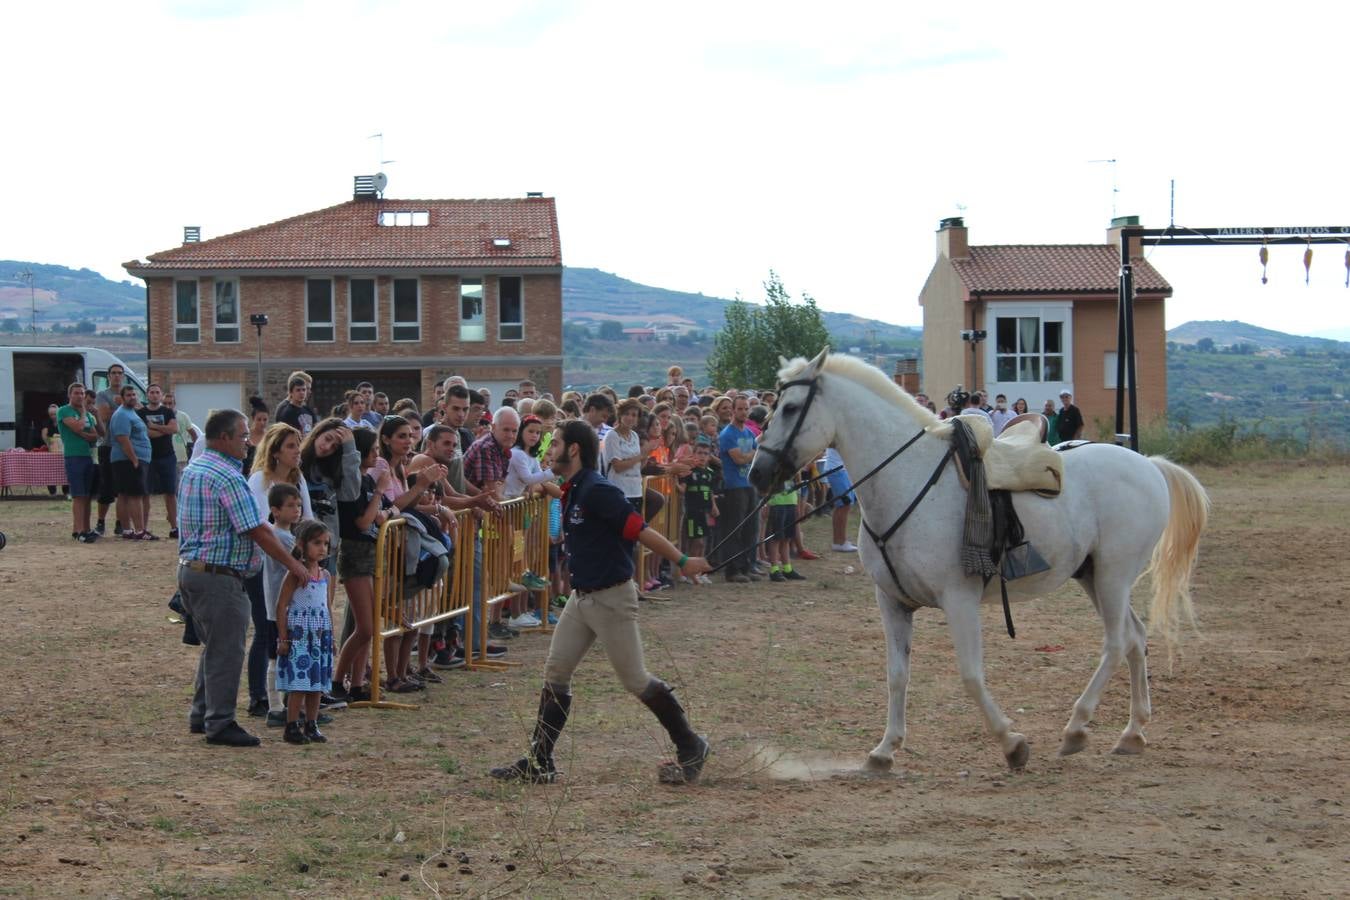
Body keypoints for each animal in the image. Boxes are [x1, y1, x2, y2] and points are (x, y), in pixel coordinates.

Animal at [750, 348, 1215, 771]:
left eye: (790, 407)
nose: (757, 473)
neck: (909, 479)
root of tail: (1148, 465)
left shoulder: (959, 599)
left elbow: (971, 675)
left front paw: (1013, 744)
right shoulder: (892, 601)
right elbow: (897, 675)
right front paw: (884, 750)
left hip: (1113, 576)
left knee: (1117, 643)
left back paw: (1076, 728)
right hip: (1092, 576)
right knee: (1135, 638)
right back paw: (1132, 733)